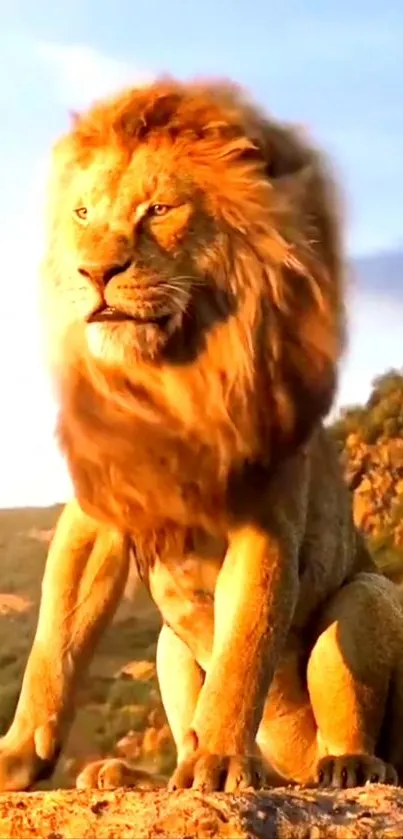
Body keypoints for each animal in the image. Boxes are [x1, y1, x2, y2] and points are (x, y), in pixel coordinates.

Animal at [0, 74, 403, 796]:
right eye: (82, 214)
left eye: (158, 209)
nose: (93, 272)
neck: (169, 381)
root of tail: (290, 770)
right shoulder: (97, 513)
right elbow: (54, 643)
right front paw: (15, 758)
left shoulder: (265, 521)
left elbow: (243, 648)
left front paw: (216, 763)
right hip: (169, 644)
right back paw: (128, 774)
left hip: (370, 597)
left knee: (354, 721)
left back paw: (343, 765)